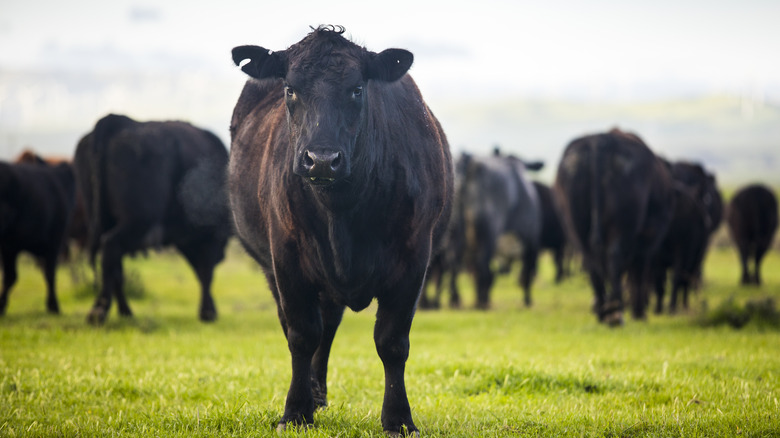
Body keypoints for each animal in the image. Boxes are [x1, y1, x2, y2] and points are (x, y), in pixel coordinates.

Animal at [72, 113, 232, 326]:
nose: (223, 256)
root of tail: (118, 121)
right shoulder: (209, 239)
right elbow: (206, 273)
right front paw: (207, 311)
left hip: (100, 220)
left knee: (115, 265)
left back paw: (125, 311)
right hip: (137, 223)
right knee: (111, 248)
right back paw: (100, 310)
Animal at [225, 24, 454, 434]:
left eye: (357, 89)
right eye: (290, 89)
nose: (322, 160)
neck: (342, 214)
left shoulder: (414, 258)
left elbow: (392, 341)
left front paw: (399, 419)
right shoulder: (285, 258)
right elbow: (301, 335)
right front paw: (295, 412)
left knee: (329, 325)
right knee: (309, 327)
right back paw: (312, 396)